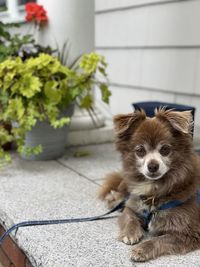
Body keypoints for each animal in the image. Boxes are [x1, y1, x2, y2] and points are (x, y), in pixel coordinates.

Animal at [98, 108, 200, 262]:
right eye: (140, 151)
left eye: (165, 149)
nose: (152, 166)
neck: (154, 191)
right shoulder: (133, 206)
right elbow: (130, 217)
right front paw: (130, 232)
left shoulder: (189, 232)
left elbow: (160, 239)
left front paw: (142, 249)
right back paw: (114, 201)